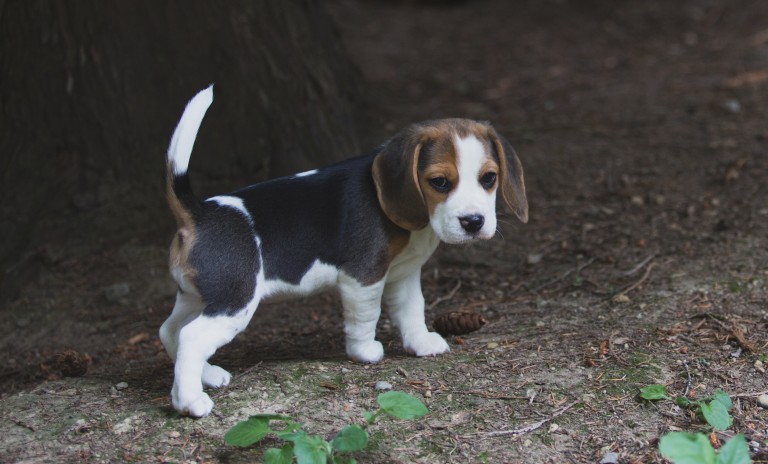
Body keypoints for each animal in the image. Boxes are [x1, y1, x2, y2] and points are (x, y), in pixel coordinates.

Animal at [159, 86, 524, 416]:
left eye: (489, 178)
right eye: (439, 182)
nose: (473, 222)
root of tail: (199, 213)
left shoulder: (404, 273)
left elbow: (411, 309)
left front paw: (421, 343)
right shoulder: (363, 277)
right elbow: (366, 317)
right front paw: (365, 352)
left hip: (197, 297)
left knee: (170, 331)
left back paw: (207, 376)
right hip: (235, 300)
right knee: (191, 337)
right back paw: (189, 402)